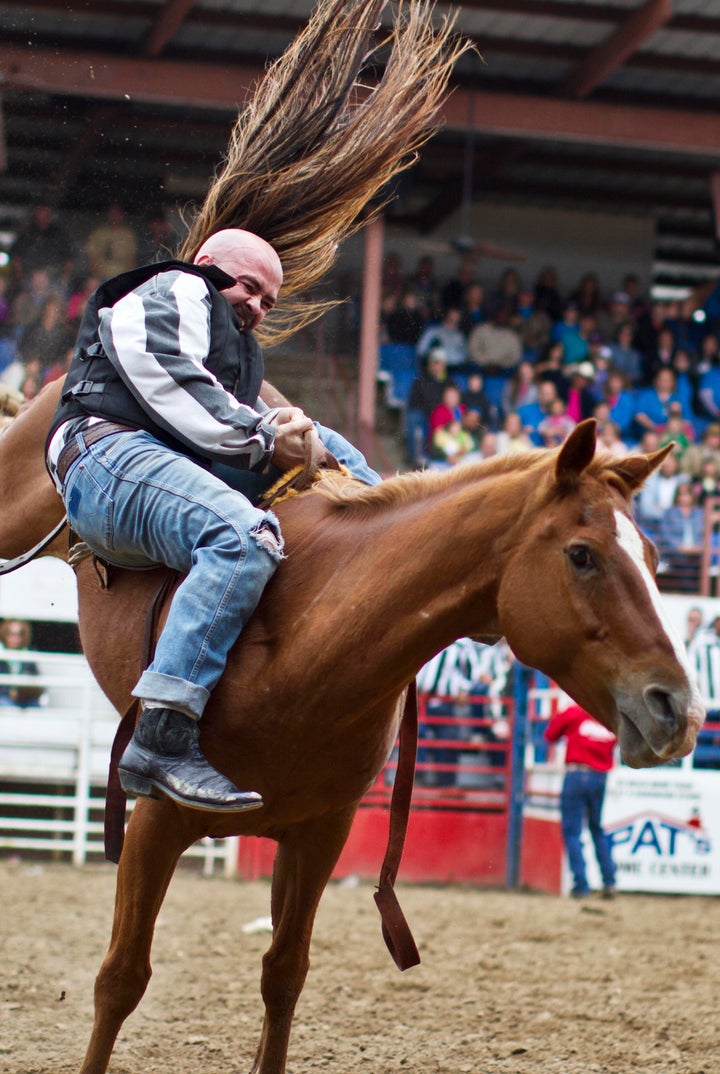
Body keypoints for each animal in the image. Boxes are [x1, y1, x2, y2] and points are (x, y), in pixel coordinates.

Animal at [62, 418, 704, 1074]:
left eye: (654, 558)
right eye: (582, 555)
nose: (678, 708)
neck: (305, 631)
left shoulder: (321, 833)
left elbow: (283, 974)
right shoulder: (156, 818)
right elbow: (121, 977)